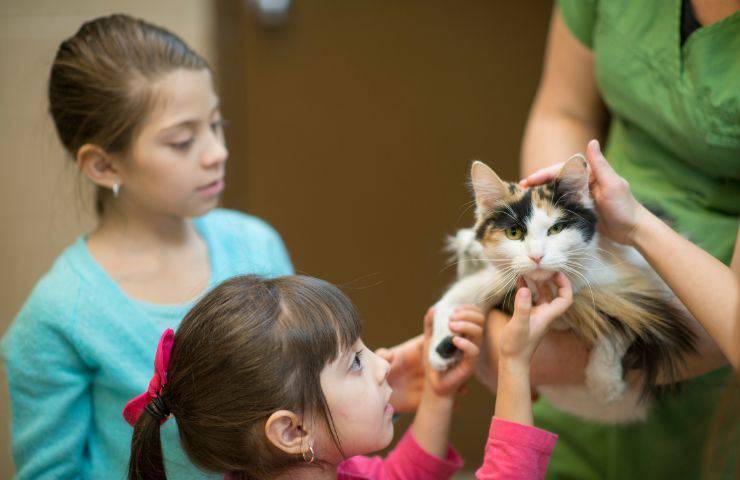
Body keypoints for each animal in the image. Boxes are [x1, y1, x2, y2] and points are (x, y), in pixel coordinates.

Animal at [430, 158, 696, 424]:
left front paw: (605, 384)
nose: (536, 256)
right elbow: (455, 296)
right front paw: (441, 347)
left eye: (556, 229)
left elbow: (621, 321)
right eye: (514, 233)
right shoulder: (506, 277)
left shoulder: (645, 280)